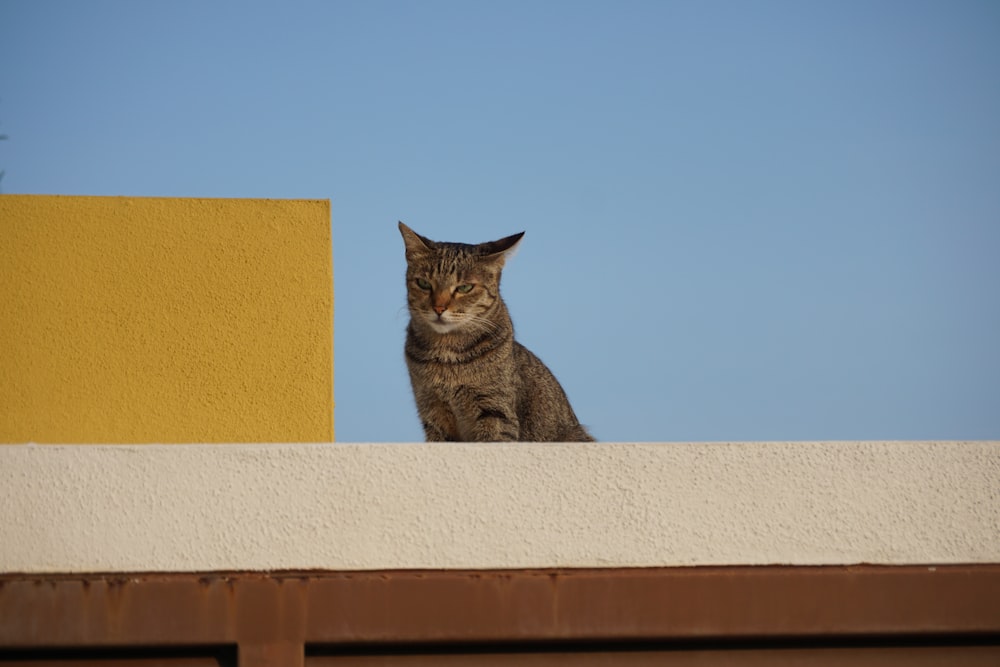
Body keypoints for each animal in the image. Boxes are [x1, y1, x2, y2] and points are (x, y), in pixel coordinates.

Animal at [398, 222, 592, 444]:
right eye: (424, 284)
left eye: (464, 287)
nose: (439, 308)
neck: (446, 353)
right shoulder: (432, 411)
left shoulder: (495, 411)